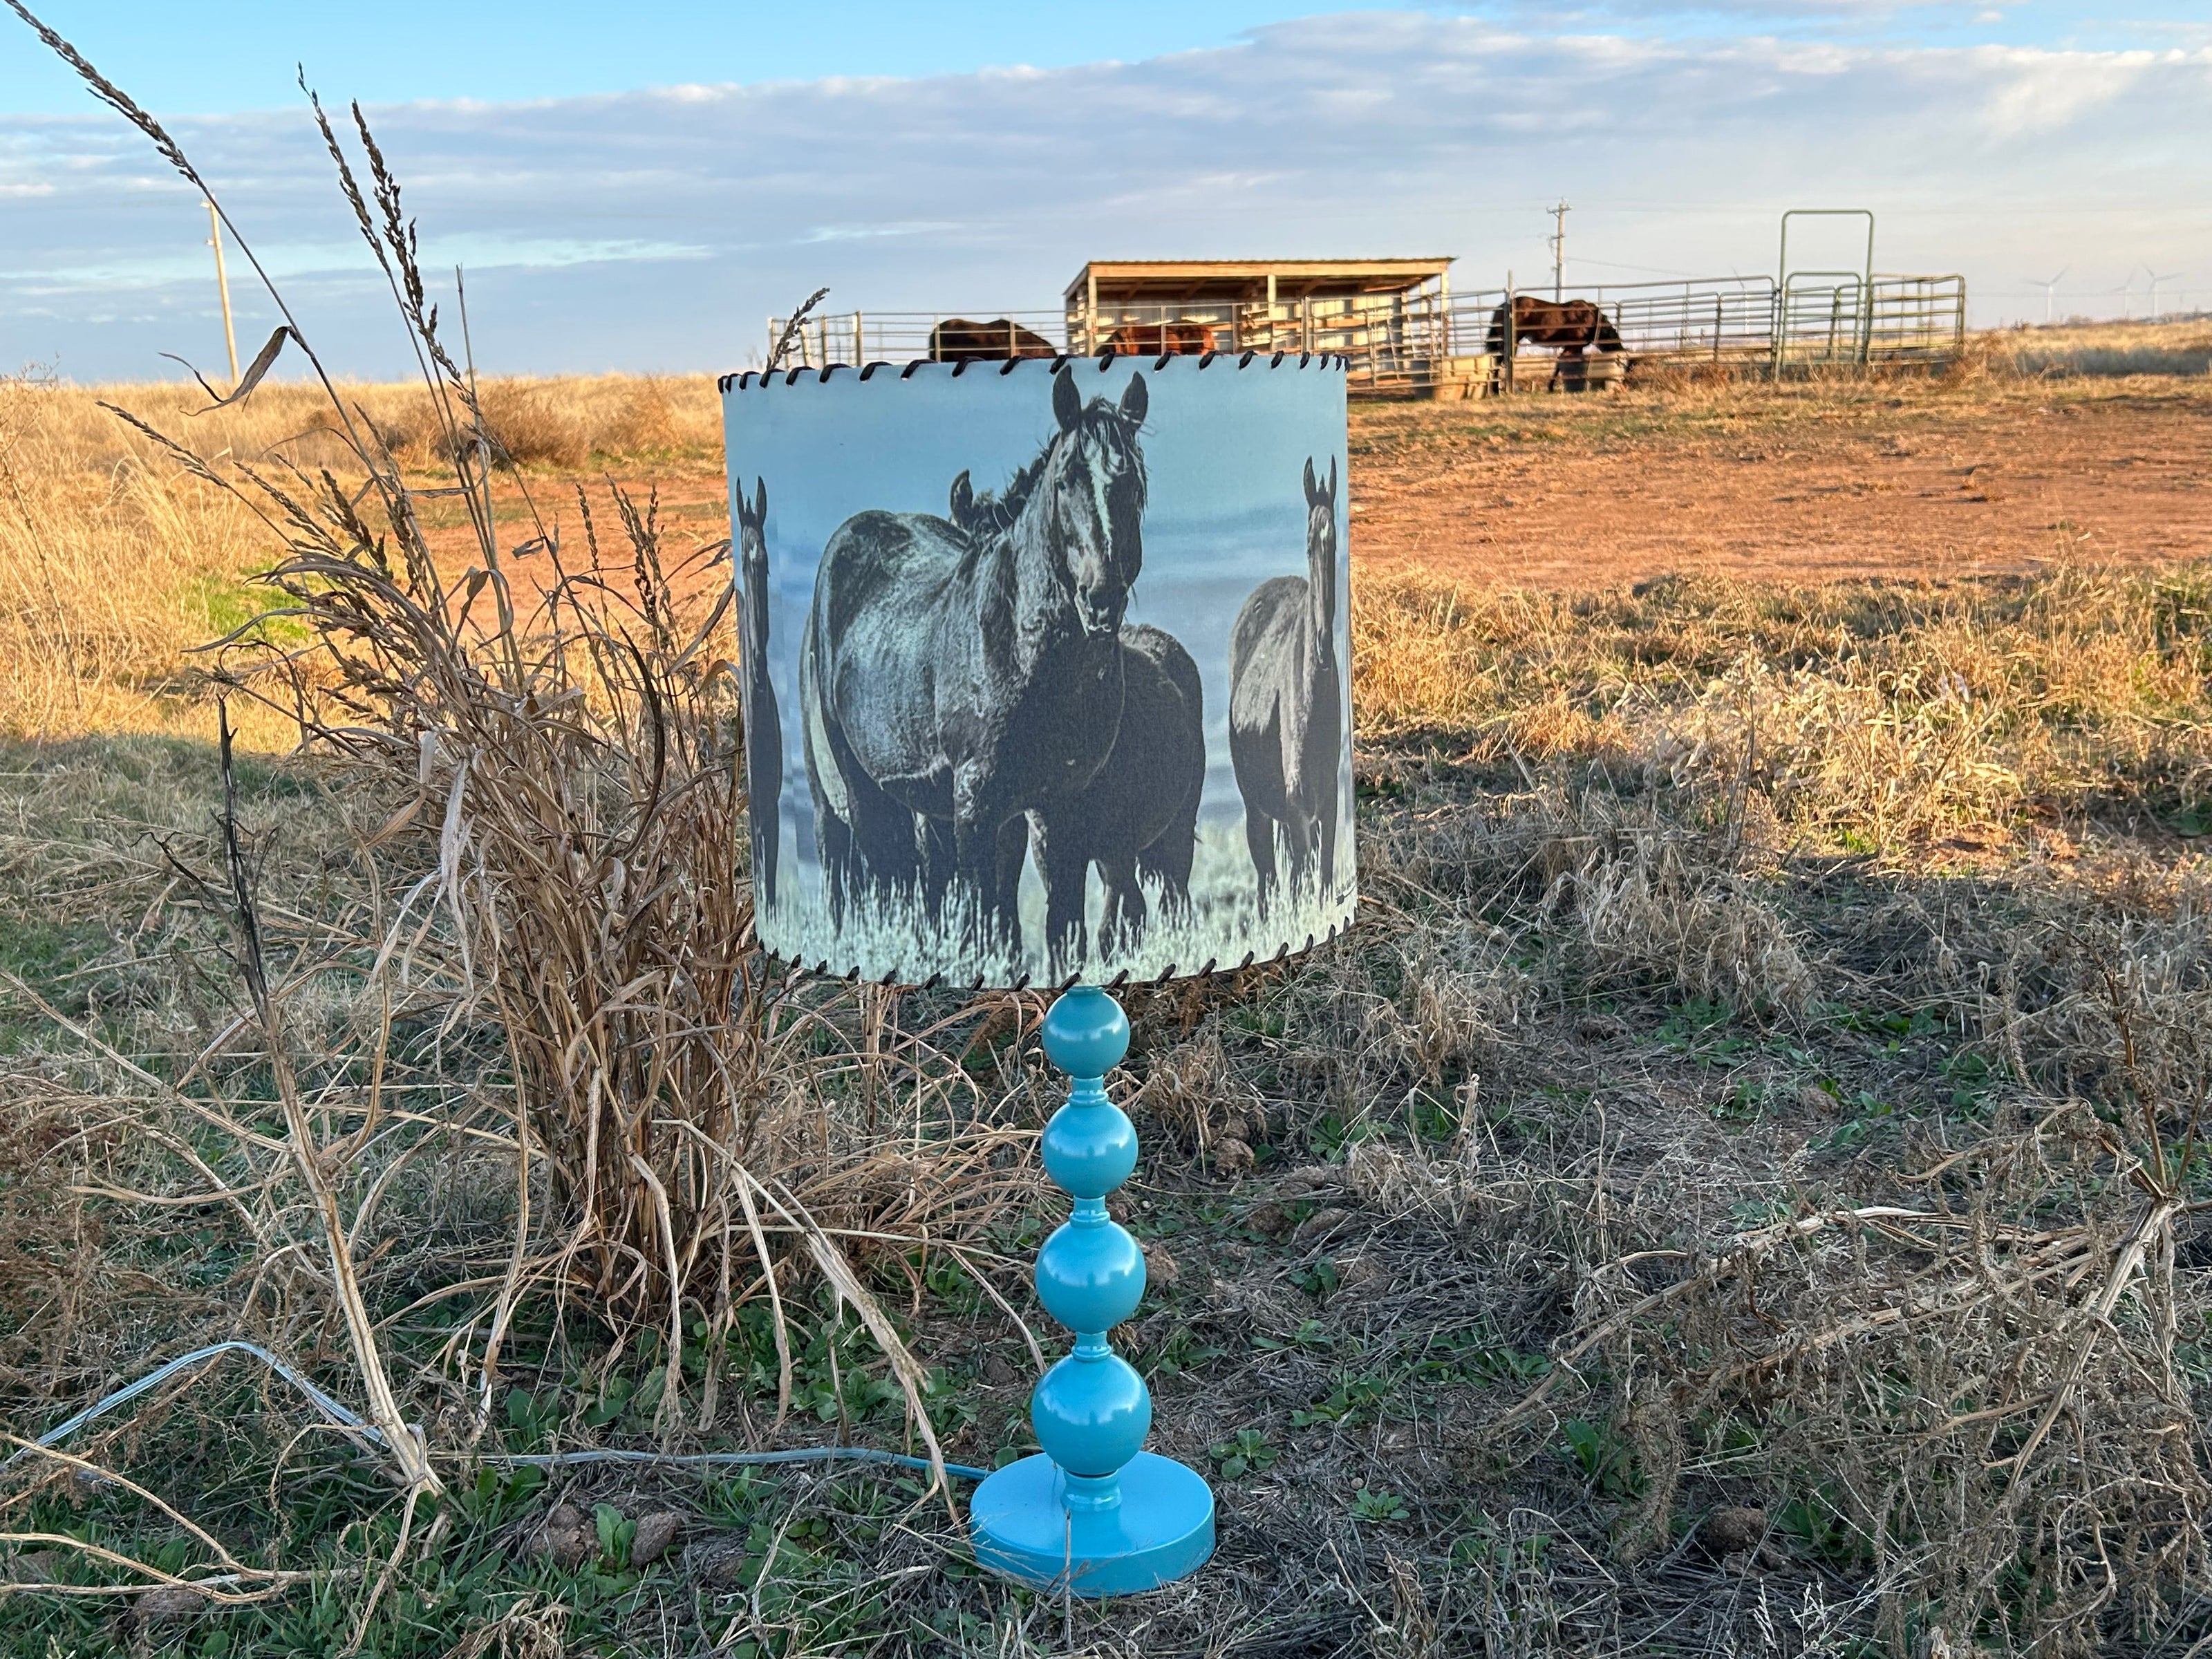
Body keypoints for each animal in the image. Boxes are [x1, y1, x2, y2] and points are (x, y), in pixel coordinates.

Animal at [801, 367, 1150, 960]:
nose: (1101, 599)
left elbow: (1060, 928)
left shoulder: (1060, 807)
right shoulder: (976, 806)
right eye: (1065, 481)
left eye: (1133, 486)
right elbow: (986, 923)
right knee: (883, 887)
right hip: (861, 789)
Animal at [1026, 624, 1204, 968]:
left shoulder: (1117, 845)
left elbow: (1112, 923)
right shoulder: (1050, 848)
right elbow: (1064, 932)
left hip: (1179, 829)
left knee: (1173, 900)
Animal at [1485, 296, 1628, 391]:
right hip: (1512, 342)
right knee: (1500, 362)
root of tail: (1502, 307)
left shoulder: (1576, 348)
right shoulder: (1572, 346)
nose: (1623, 382)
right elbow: (1560, 363)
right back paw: (1499, 390)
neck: (1591, 319)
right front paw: (1551, 387)